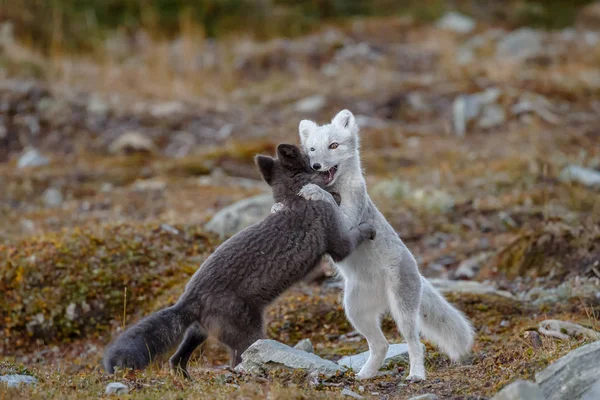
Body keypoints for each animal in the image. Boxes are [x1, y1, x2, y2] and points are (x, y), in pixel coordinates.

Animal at [103, 144, 376, 378]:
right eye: (312, 153)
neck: (298, 198)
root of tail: (189, 299)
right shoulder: (337, 244)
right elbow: (354, 235)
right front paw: (369, 228)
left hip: (199, 332)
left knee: (176, 359)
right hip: (249, 335)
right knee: (237, 362)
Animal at [294, 110, 474, 382]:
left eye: (333, 145)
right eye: (312, 149)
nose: (316, 166)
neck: (337, 188)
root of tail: (418, 272)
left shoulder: (349, 221)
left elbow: (335, 210)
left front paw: (314, 191)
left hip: (401, 309)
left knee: (415, 344)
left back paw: (416, 375)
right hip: (354, 310)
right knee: (382, 345)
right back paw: (364, 376)